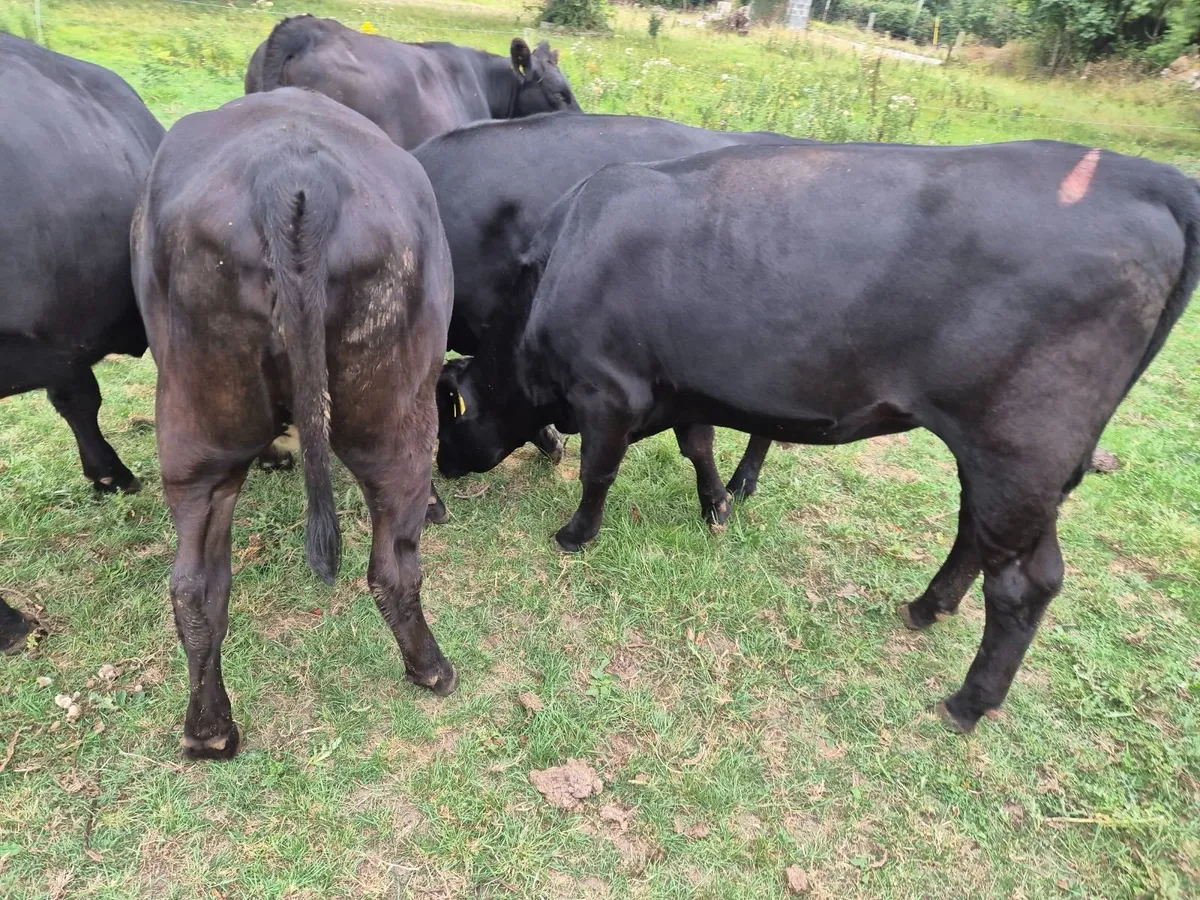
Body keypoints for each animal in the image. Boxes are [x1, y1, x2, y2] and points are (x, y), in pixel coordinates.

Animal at [132, 88, 458, 759]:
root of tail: (288, 179)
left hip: (197, 443)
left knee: (194, 589)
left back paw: (209, 730)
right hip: (398, 423)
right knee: (393, 571)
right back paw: (432, 669)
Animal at [435, 141, 1199, 734]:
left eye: (448, 415)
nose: (439, 469)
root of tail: (1145, 177)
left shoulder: (609, 390)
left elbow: (600, 469)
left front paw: (575, 534)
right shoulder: (683, 383)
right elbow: (698, 444)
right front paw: (716, 507)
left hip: (1019, 449)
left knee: (1023, 583)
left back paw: (968, 702)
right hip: (1002, 457)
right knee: (974, 533)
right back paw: (926, 607)